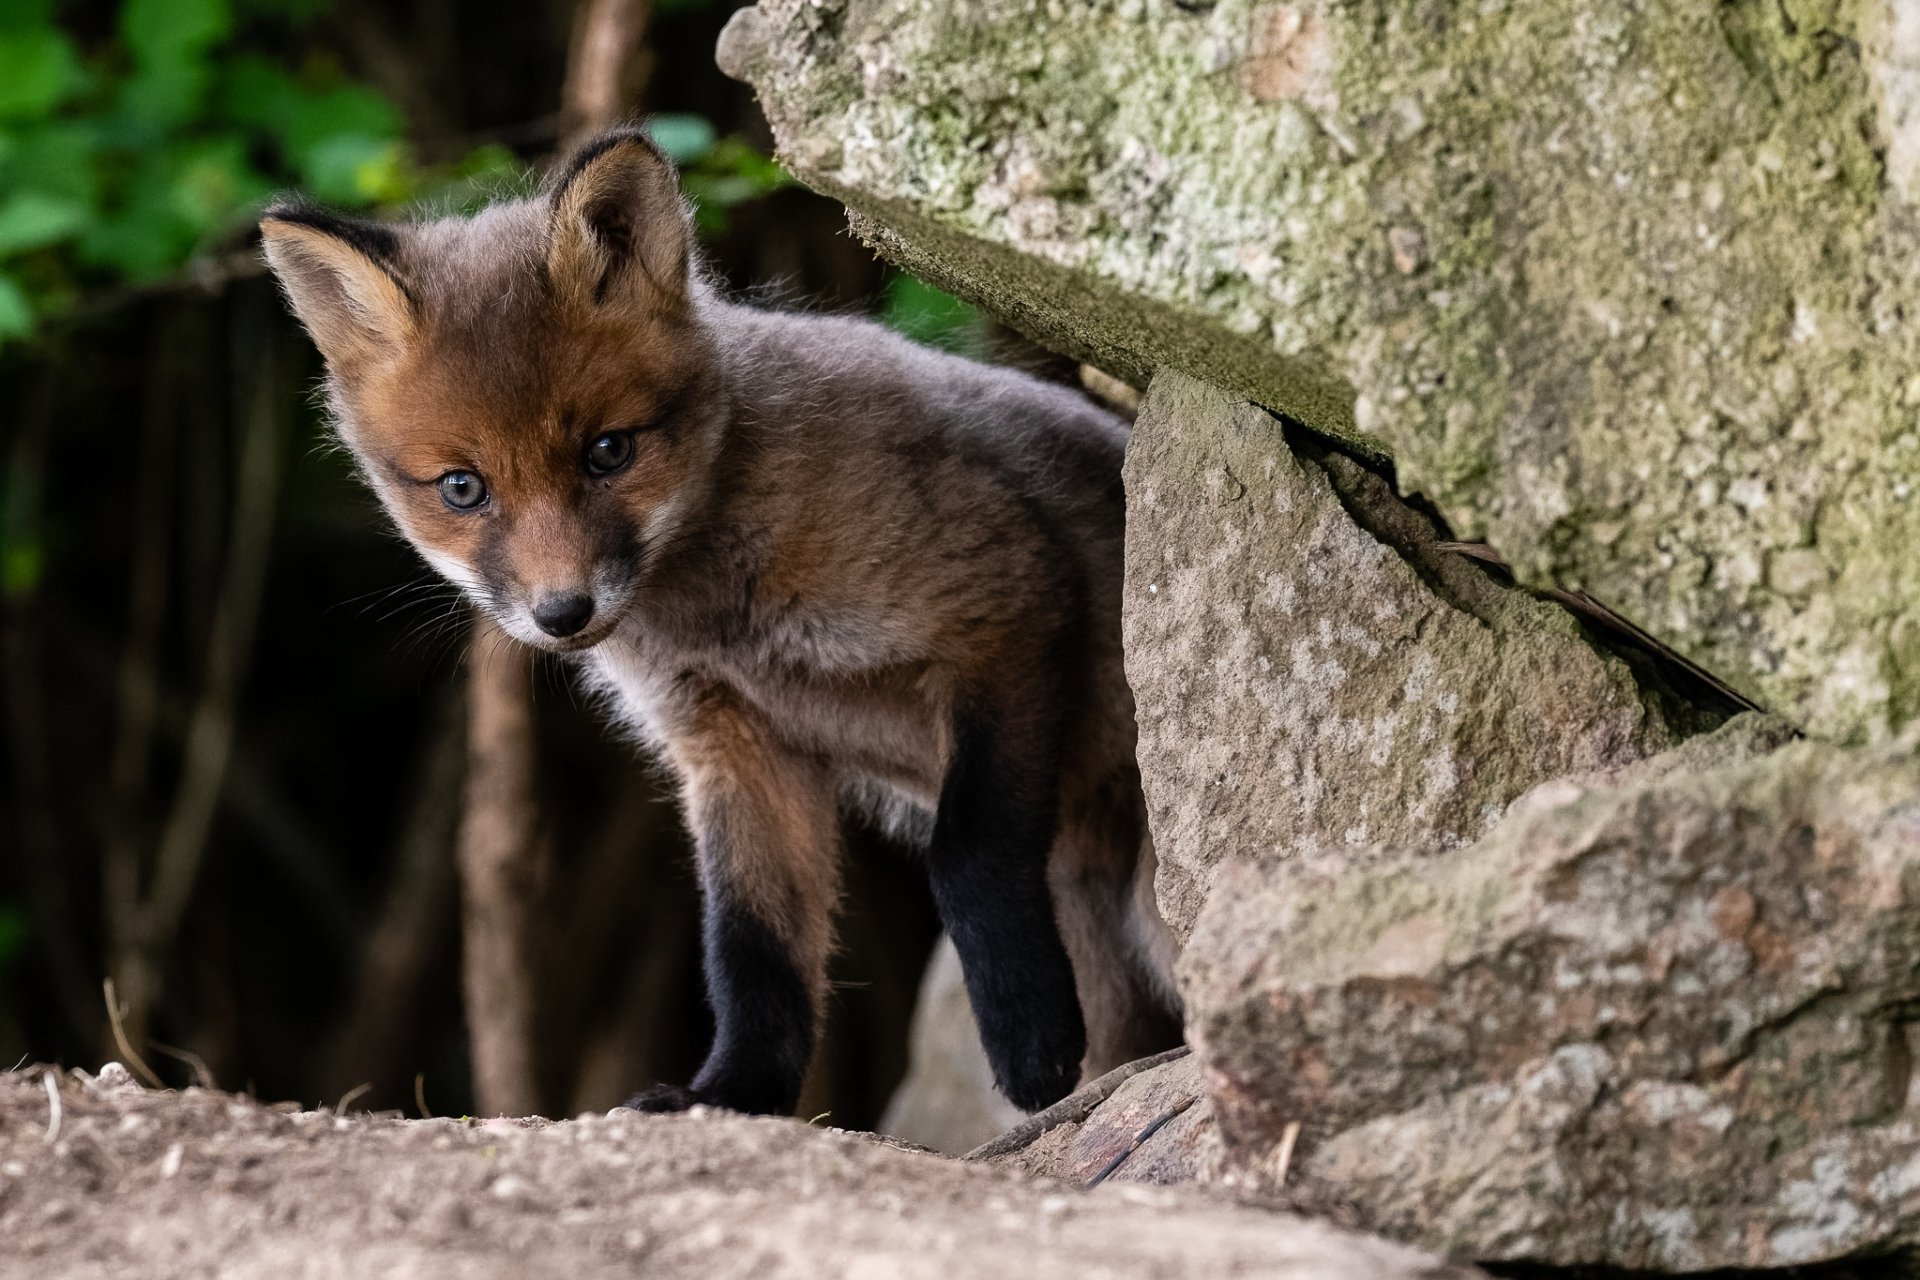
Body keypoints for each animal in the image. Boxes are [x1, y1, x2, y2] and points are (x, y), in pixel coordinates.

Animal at [259, 128, 1182, 1117]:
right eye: (463, 488)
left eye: (608, 451)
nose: (562, 611)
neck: (724, 623)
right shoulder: (733, 740)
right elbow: (753, 948)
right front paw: (733, 1092)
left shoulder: (1001, 602)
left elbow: (966, 852)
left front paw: (1028, 1040)